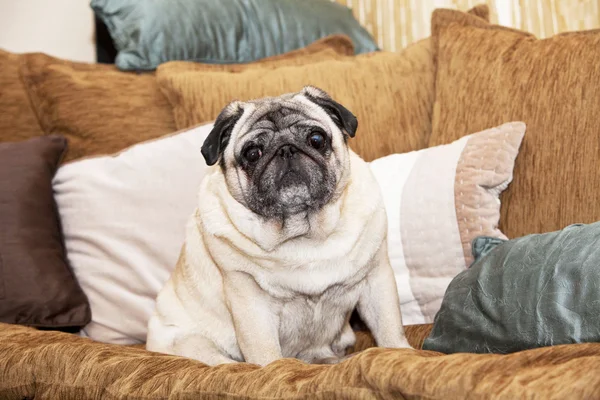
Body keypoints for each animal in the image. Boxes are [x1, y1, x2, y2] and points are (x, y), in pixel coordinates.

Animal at [145, 86, 412, 366]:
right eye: (253, 153)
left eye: (316, 139)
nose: (286, 149)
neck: (303, 232)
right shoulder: (250, 298)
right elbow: (265, 351)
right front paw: (273, 368)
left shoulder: (376, 278)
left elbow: (388, 325)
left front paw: (400, 352)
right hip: (192, 344)